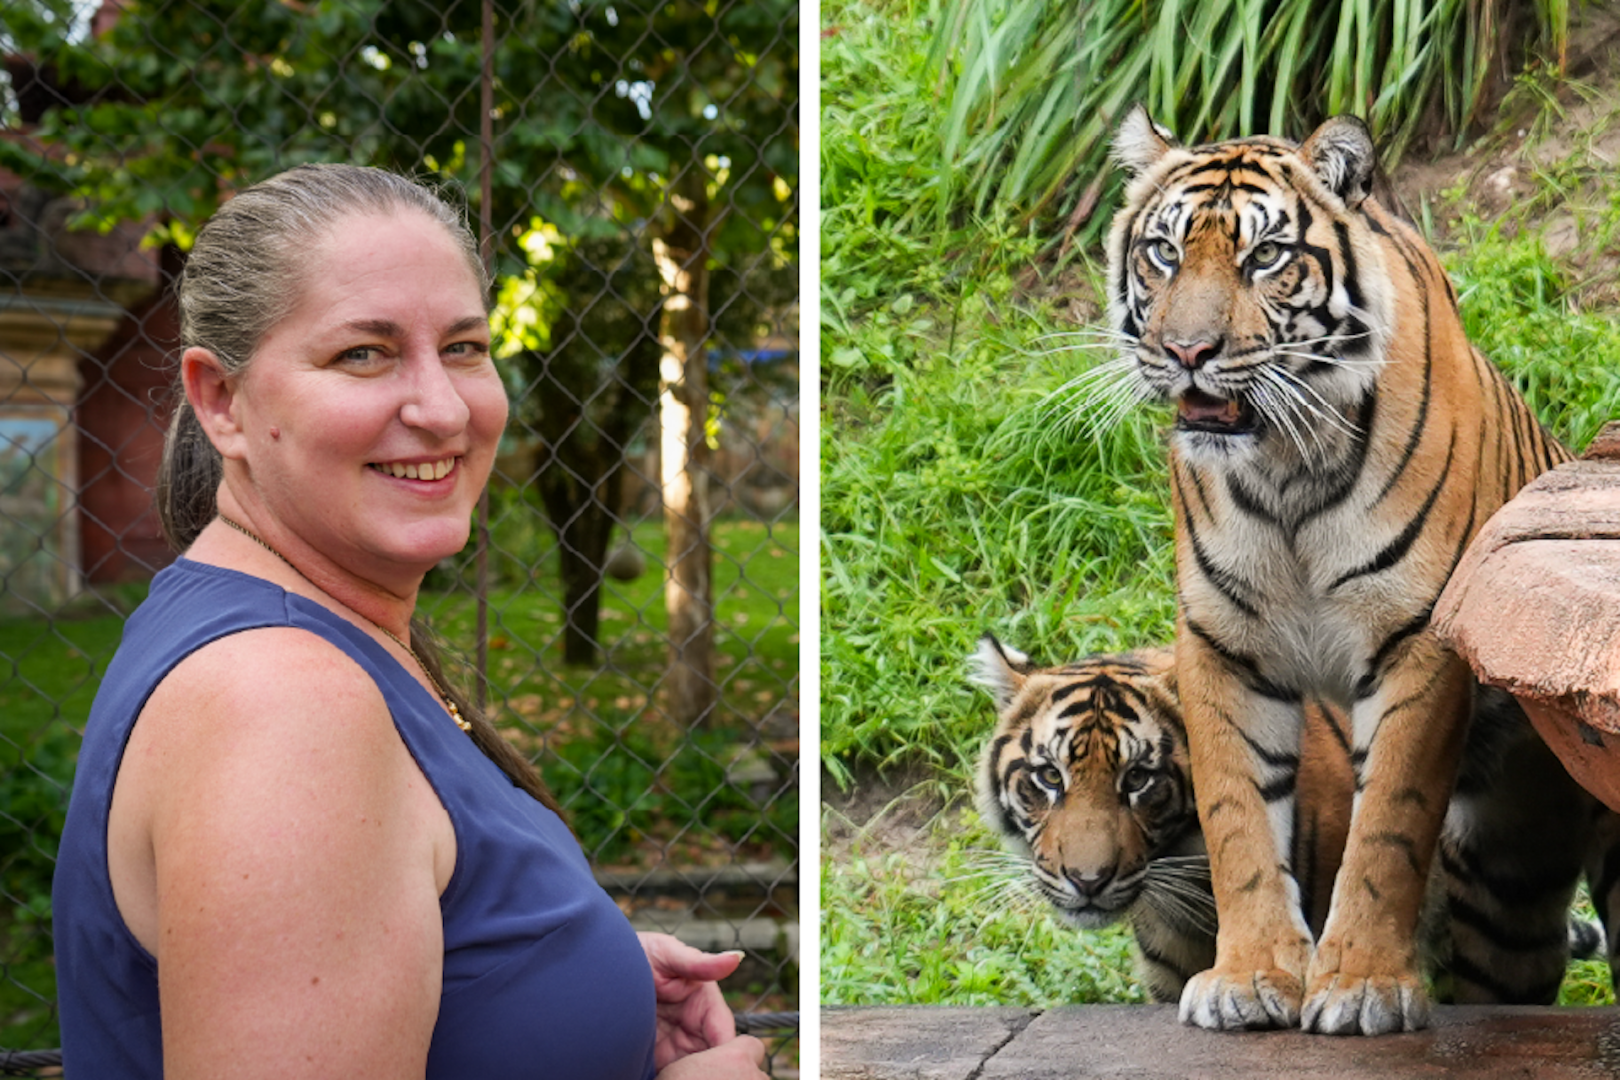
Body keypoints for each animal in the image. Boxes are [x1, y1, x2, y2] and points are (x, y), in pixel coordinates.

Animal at [1104, 106, 1582, 1033]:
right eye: (1165, 253)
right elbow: (1238, 820)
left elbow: (1387, 828)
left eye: (1264, 256)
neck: (1284, 466)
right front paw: (1249, 976)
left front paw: (1360, 984)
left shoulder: (1417, 640)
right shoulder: (1223, 644)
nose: (1186, 350)